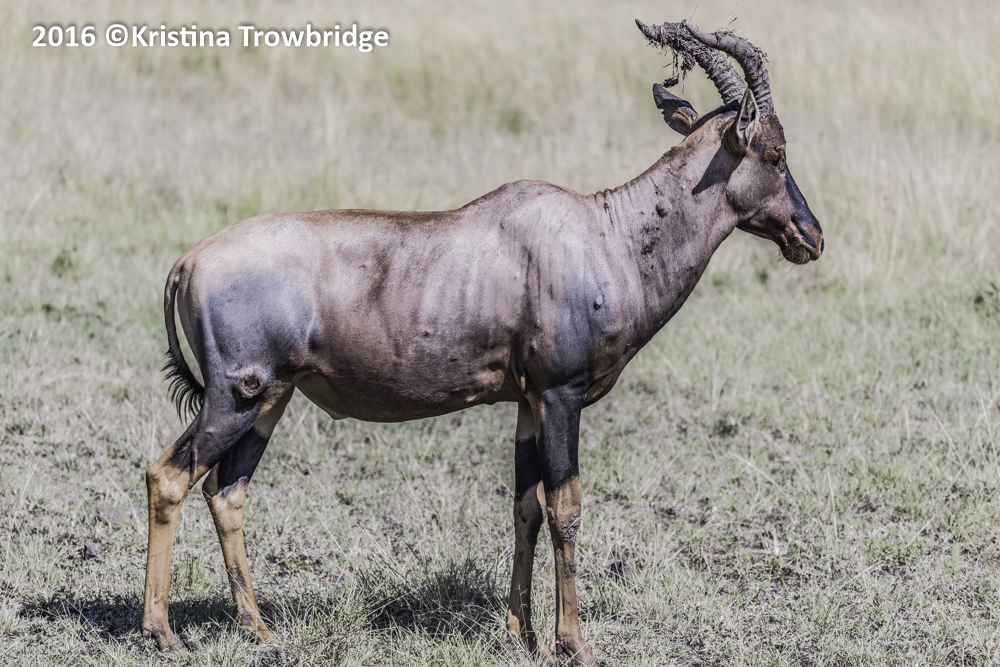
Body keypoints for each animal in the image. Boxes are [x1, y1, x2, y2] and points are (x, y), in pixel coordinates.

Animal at [141, 19, 823, 665]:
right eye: (775, 151)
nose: (811, 236)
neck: (605, 235)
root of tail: (188, 261)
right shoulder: (561, 396)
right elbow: (567, 509)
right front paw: (574, 644)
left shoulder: (527, 403)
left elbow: (526, 508)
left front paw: (521, 633)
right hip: (237, 396)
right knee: (168, 476)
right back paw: (163, 633)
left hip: (271, 399)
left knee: (226, 492)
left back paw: (257, 629)